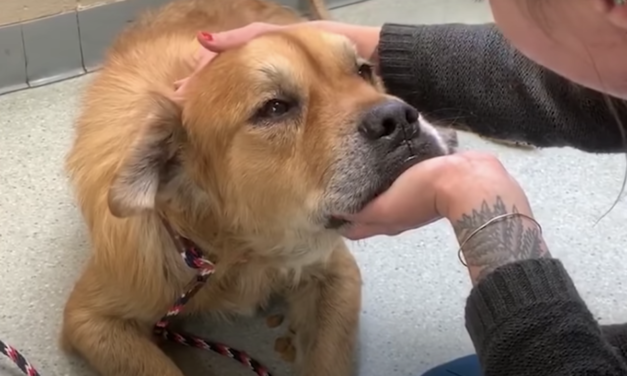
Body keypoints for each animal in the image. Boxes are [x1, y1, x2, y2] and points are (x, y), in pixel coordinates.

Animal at [61, 0, 458, 376]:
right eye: (275, 108)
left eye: (362, 71)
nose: (399, 119)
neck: (237, 250)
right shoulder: (91, 318)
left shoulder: (336, 272)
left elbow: (328, 360)